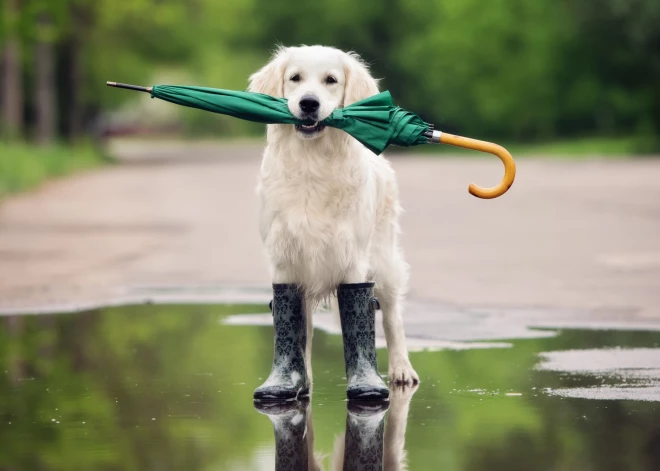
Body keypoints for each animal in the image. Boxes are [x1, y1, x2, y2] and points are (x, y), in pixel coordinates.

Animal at [248, 44, 418, 386]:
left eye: (331, 80)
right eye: (295, 78)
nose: (308, 103)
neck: (313, 163)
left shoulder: (352, 259)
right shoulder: (285, 259)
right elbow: (296, 328)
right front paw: (294, 380)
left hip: (384, 260)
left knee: (392, 316)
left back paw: (401, 369)